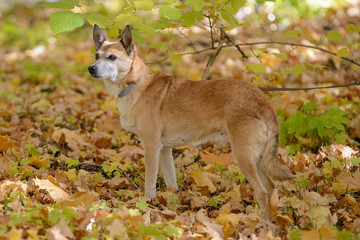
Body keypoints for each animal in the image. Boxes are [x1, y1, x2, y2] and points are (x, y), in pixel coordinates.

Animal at [88, 24, 294, 221]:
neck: (136, 83)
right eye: (97, 55)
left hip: (244, 156)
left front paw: (146, 206)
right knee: (271, 188)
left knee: (262, 192)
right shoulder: (164, 149)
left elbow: (150, 183)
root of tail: (261, 99)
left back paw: (264, 225)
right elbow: (171, 182)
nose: (91, 68)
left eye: (112, 57)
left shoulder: (151, 146)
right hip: (257, 158)